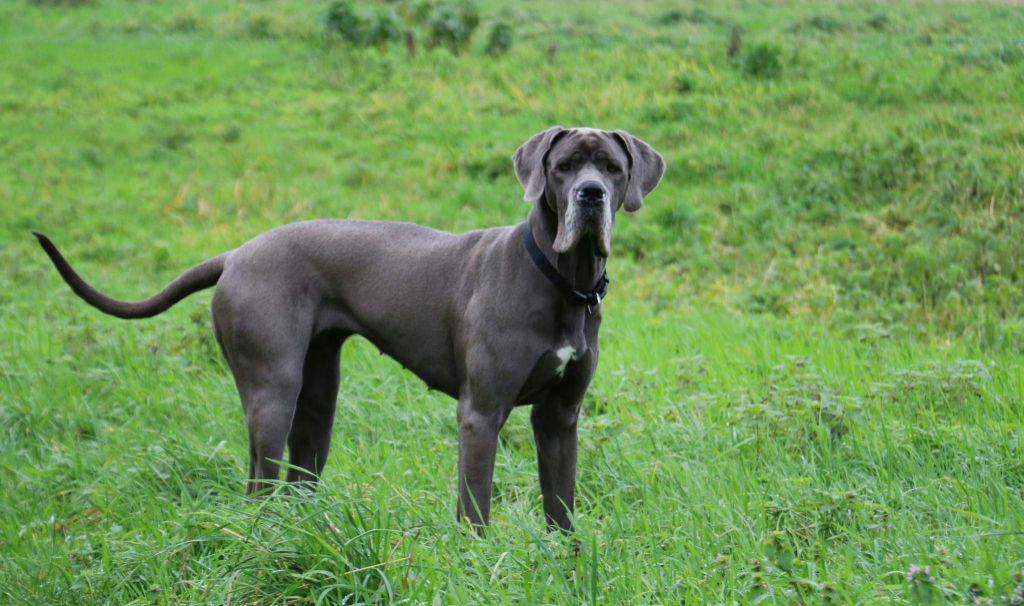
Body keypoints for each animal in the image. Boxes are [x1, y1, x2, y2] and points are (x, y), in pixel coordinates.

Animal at [34, 127, 663, 532]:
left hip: (319, 399)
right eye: (562, 167)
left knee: (299, 475)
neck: (562, 282)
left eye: (612, 167)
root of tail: (236, 255)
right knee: (259, 484)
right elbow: (475, 508)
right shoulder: (481, 415)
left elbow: (562, 505)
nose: (590, 194)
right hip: (272, 393)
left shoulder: (560, 418)